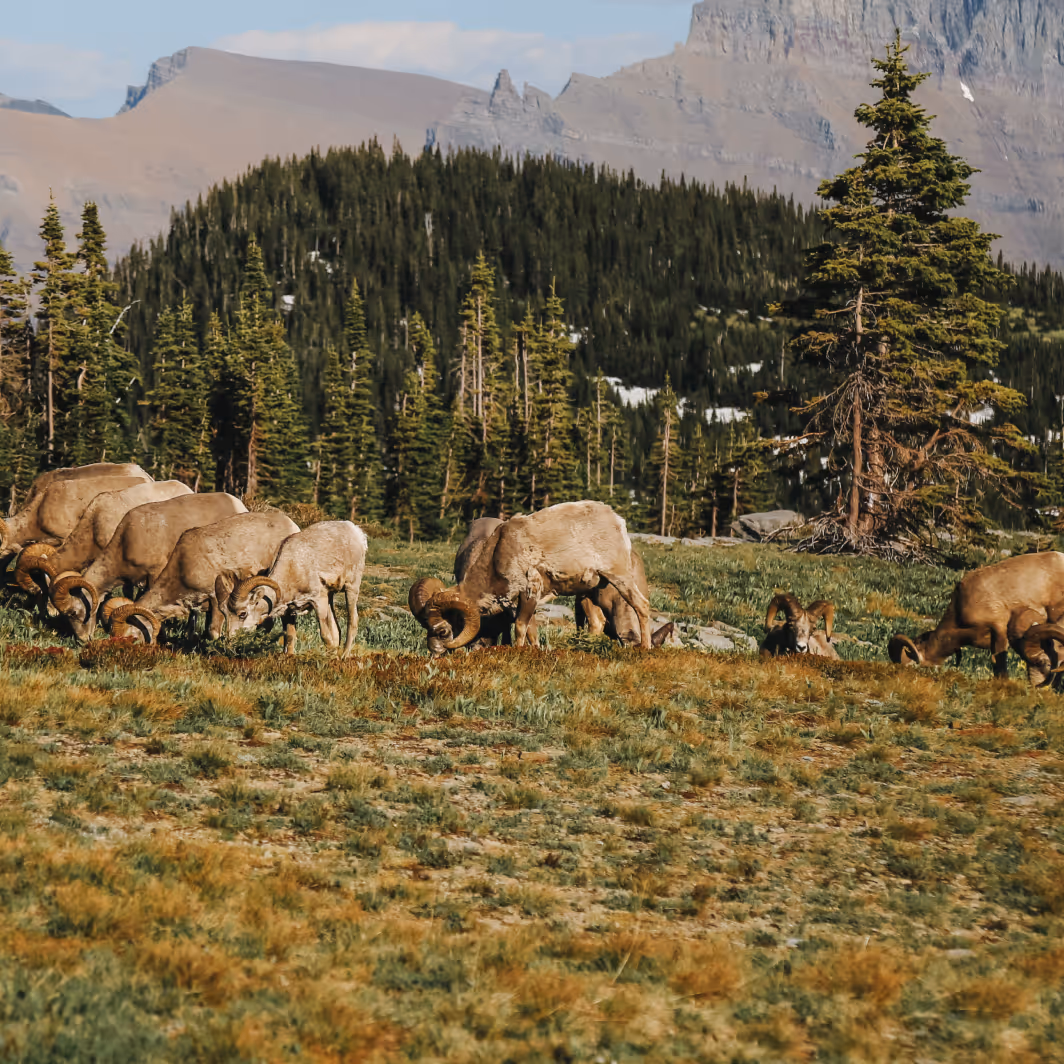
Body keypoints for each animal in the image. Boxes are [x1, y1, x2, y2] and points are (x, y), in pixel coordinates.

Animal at [225, 521, 368, 657]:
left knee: (353, 621)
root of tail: (358, 533)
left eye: (242, 613)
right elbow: (289, 636)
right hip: (330, 596)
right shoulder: (289, 611)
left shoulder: (318, 601)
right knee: (336, 629)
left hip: (351, 588)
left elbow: (325, 635)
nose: (231, 641)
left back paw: (344, 655)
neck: (292, 567)